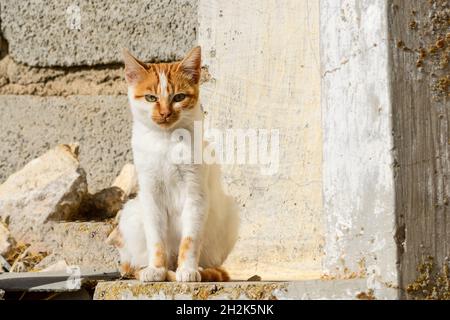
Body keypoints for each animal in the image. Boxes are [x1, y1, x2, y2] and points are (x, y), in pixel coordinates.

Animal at [107, 46, 241, 282]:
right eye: (150, 97)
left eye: (179, 97)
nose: (165, 113)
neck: (166, 141)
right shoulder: (151, 194)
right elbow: (156, 239)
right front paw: (156, 269)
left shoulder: (196, 193)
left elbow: (190, 239)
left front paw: (187, 270)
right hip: (132, 212)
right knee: (130, 264)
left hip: (230, 214)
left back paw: (200, 269)